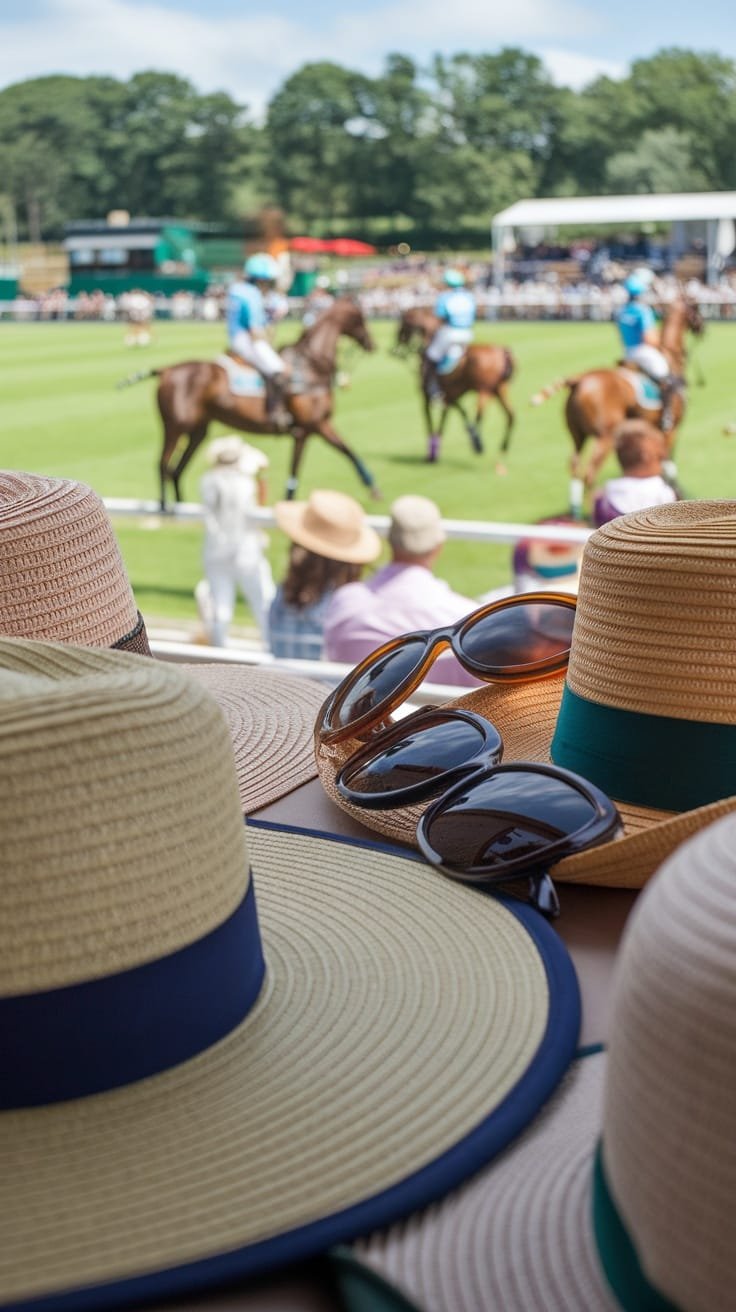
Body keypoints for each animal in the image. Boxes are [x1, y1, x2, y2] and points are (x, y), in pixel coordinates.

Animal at [117, 297, 380, 506]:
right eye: (361, 318)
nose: (372, 344)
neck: (311, 366)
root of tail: (167, 369)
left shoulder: (306, 430)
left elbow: (311, 463)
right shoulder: (313, 426)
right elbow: (346, 452)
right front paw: (373, 487)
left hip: (198, 430)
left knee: (176, 469)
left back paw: (183, 506)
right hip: (174, 426)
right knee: (163, 464)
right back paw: (165, 508)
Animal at [393, 305, 514, 472]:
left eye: (402, 326)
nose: (393, 349)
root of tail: (502, 351)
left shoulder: (429, 398)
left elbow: (433, 424)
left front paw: (431, 456)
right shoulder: (450, 397)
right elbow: (455, 416)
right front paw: (435, 453)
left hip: (484, 389)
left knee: (480, 414)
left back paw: (478, 442)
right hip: (500, 389)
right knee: (511, 415)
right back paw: (502, 447)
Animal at [527, 295, 697, 509]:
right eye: (696, 308)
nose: (702, 327)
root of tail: (579, 379)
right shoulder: (670, 428)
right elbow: (667, 463)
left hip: (576, 435)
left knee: (574, 465)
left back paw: (576, 508)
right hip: (605, 436)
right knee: (590, 473)